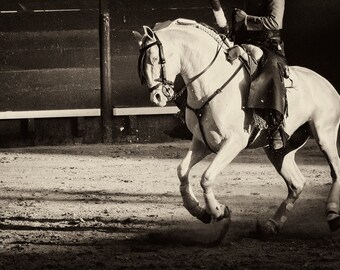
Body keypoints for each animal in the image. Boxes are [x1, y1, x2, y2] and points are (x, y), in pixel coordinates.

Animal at [134, 19, 340, 235]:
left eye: (155, 58)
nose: (157, 97)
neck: (210, 83)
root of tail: (326, 83)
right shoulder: (202, 141)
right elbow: (182, 171)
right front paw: (199, 211)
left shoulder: (234, 142)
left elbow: (206, 177)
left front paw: (218, 211)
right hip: (279, 150)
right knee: (296, 183)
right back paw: (272, 225)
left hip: (325, 135)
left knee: (335, 171)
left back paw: (332, 214)